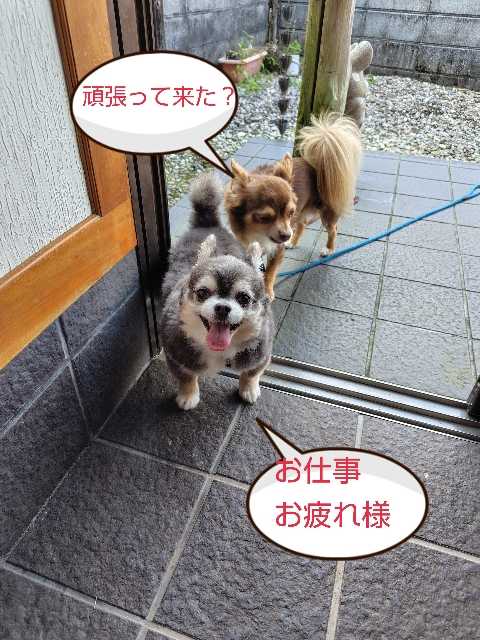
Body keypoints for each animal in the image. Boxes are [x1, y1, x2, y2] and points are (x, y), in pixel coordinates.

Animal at [160, 173, 273, 410]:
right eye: (203, 292)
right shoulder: (176, 353)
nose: (222, 307)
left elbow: (251, 373)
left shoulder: (261, 353)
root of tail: (208, 222)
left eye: (244, 298)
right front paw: (188, 396)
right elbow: (186, 377)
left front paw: (248, 389)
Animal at [225, 113, 362, 299]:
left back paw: (328, 249)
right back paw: (293, 242)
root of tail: (316, 165)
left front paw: (267, 292)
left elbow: (270, 271)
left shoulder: (277, 249)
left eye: (289, 213)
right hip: (303, 213)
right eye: (264, 217)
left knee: (333, 229)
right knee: (302, 225)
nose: (286, 235)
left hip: (326, 214)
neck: (258, 235)